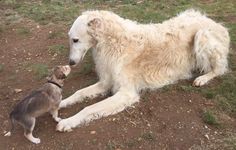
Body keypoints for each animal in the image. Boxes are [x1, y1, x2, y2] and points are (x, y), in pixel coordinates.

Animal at [56, 9, 230, 131]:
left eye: (75, 40)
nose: (71, 63)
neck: (113, 41)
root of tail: (217, 23)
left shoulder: (126, 93)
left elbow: (88, 108)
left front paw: (67, 122)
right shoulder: (106, 82)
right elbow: (78, 93)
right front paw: (60, 103)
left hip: (202, 36)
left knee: (220, 68)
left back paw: (202, 78)